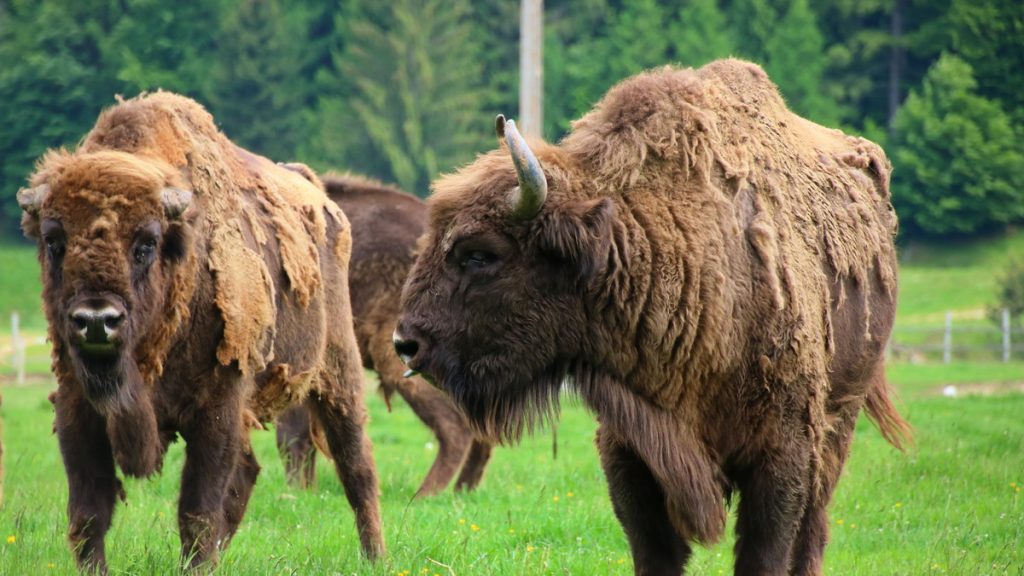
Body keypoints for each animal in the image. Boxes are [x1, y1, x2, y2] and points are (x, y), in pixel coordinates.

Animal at [16, 93, 385, 569]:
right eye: (53, 239)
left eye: (147, 242)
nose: (96, 320)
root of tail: (322, 198)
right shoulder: (76, 407)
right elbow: (89, 513)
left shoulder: (217, 408)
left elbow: (197, 512)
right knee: (248, 473)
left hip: (338, 371)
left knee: (356, 467)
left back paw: (376, 557)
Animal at [274, 172, 493, 496]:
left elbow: (291, 435)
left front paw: (297, 492)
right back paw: (460, 491)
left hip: (400, 357)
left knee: (455, 426)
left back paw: (425, 494)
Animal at [393, 59, 913, 573]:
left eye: (479, 254)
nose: (406, 343)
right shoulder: (630, 449)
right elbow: (655, 550)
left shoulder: (783, 453)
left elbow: (766, 550)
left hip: (840, 420)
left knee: (813, 528)